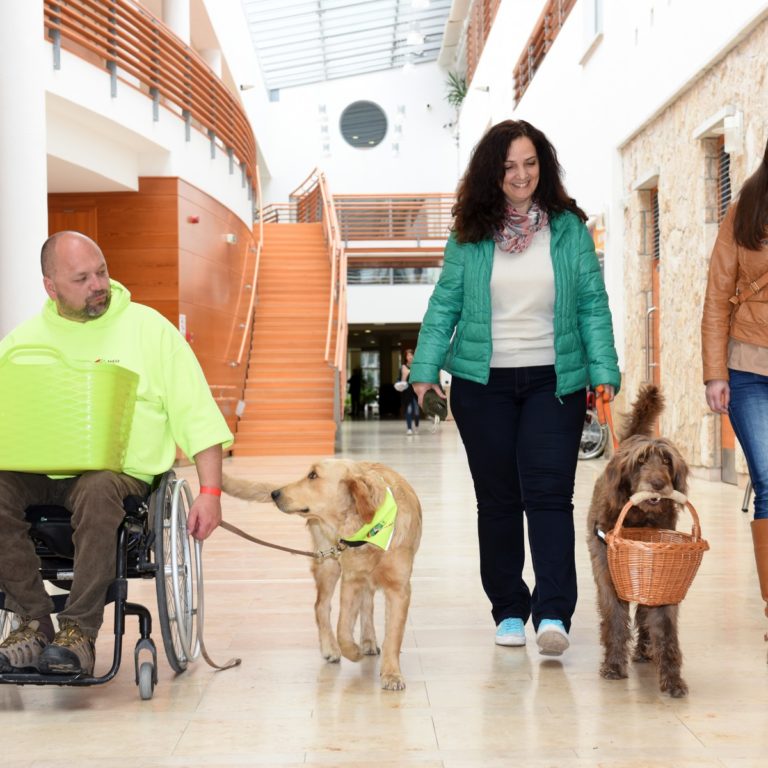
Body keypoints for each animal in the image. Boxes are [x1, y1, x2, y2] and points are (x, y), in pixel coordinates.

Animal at [225, 460, 424, 692]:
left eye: (313, 475)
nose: (275, 493)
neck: (368, 531)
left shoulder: (399, 589)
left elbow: (393, 635)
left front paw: (391, 673)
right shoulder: (351, 580)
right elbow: (342, 628)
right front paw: (352, 651)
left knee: (367, 604)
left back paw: (367, 640)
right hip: (328, 563)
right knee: (321, 606)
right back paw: (331, 647)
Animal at [588, 384, 688, 696]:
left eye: (666, 460)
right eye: (641, 461)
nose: (658, 484)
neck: (637, 519)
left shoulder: (662, 576)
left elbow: (664, 627)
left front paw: (672, 679)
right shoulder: (608, 575)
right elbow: (615, 621)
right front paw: (613, 665)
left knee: (644, 615)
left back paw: (645, 650)